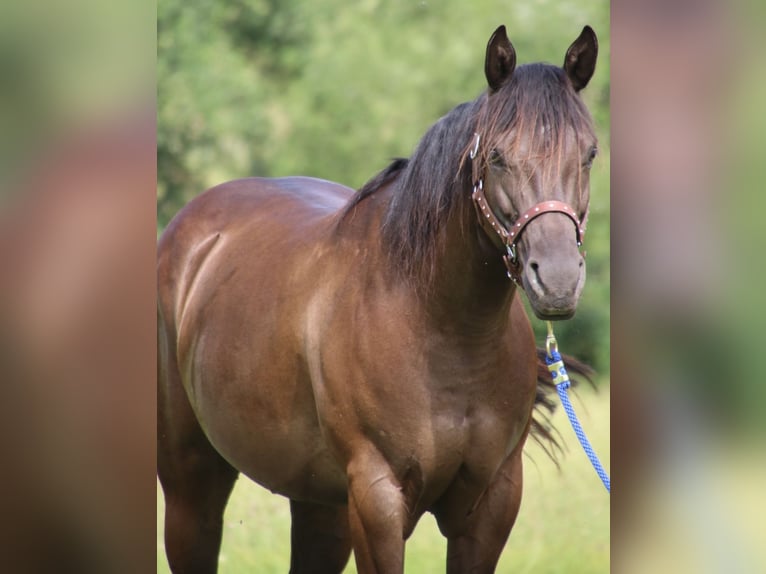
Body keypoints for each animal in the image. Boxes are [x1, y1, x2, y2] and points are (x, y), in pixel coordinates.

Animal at [158, 24, 600, 572]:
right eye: (497, 156)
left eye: (589, 153)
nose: (557, 280)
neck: (444, 332)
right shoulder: (378, 500)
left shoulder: (492, 503)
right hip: (191, 486)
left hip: (318, 504)